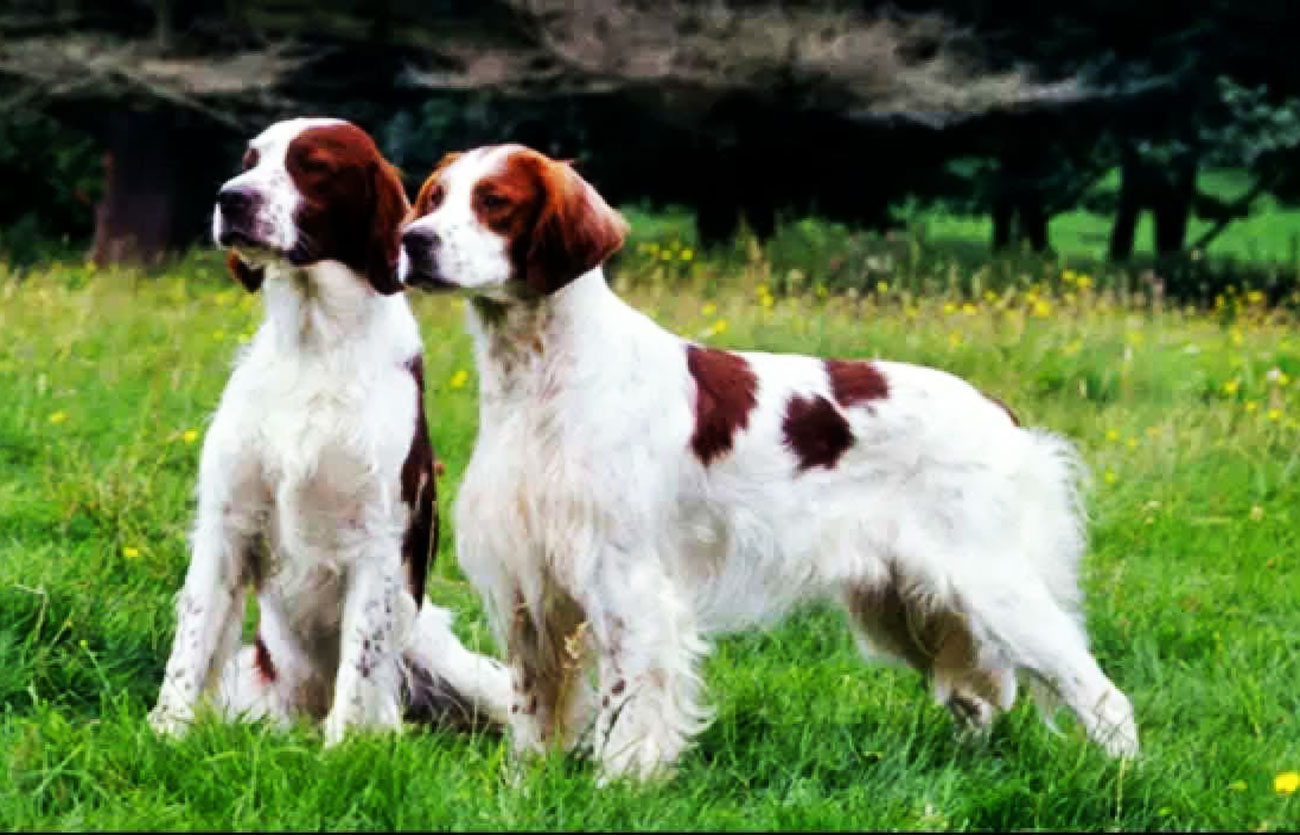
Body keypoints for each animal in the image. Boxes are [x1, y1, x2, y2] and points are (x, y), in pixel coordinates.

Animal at [150, 118, 512, 738]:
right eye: (250, 160)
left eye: (314, 166)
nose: (230, 198)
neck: (314, 343)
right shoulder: (227, 522)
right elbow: (190, 645)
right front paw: (164, 734)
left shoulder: (376, 538)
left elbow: (361, 665)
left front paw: (343, 748)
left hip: (444, 657)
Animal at [395, 144, 1138, 780]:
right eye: (433, 197)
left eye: (495, 201)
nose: (413, 240)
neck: (542, 379)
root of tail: (1001, 415)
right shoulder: (531, 589)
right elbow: (532, 713)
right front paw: (526, 789)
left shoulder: (628, 582)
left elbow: (629, 711)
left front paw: (617, 787)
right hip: (906, 603)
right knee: (978, 698)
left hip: (992, 585)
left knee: (1101, 693)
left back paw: (1123, 780)